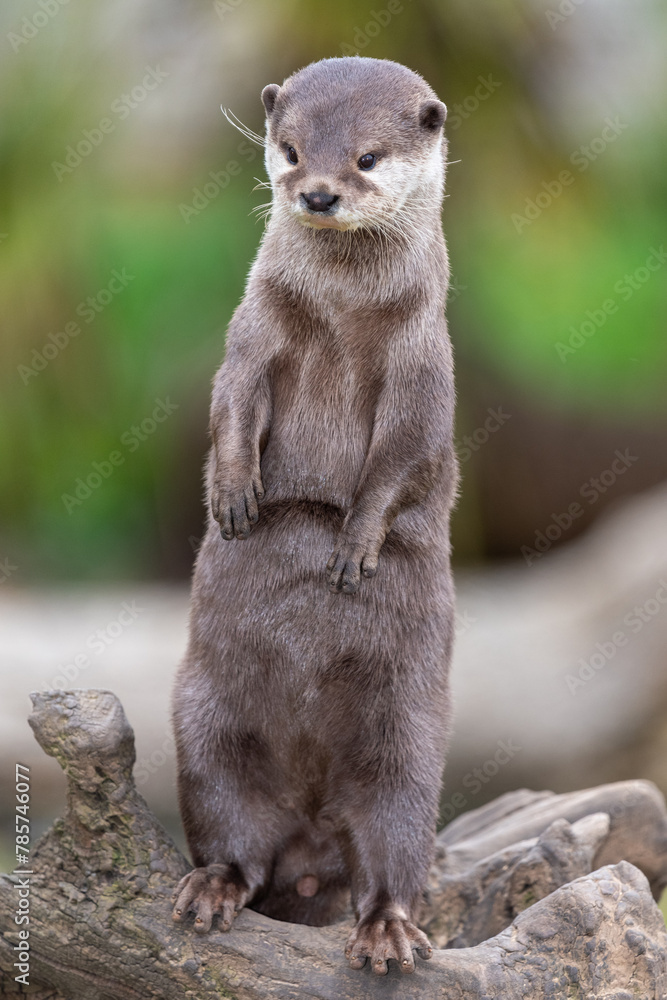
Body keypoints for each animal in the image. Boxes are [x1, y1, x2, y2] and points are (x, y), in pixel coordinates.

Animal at [171, 56, 457, 976]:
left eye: (366, 158)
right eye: (292, 149)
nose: (320, 193)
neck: (341, 315)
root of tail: (305, 851)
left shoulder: (422, 366)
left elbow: (406, 457)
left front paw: (354, 545)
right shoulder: (254, 329)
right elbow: (229, 403)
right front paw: (233, 496)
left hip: (408, 743)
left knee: (392, 844)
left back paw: (387, 930)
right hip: (205, 722)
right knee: (231, 829)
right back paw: (214, 887)